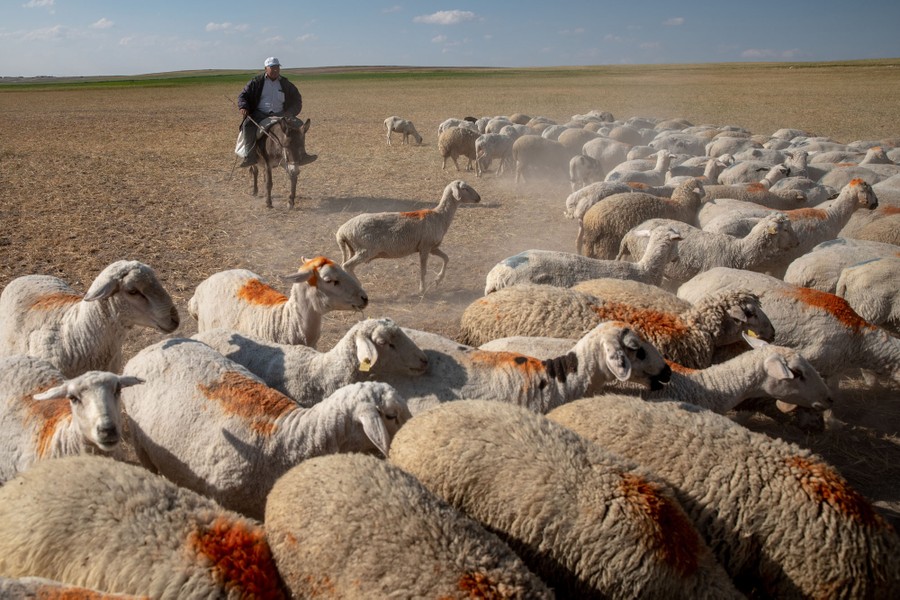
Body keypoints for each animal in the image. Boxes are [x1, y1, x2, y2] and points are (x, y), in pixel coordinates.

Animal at [335, 180, 481, 294]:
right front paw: (422, 290)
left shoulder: (433, 247)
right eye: (464, 188)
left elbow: (446, 258)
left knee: (346, 266)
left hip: (353, 249)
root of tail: (342, 231)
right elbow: (423, 270)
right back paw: (360, 286)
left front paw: (438, 280)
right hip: (366, 250)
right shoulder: (425, 247)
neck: (440, 216)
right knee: (347, 266)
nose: (479, 198)